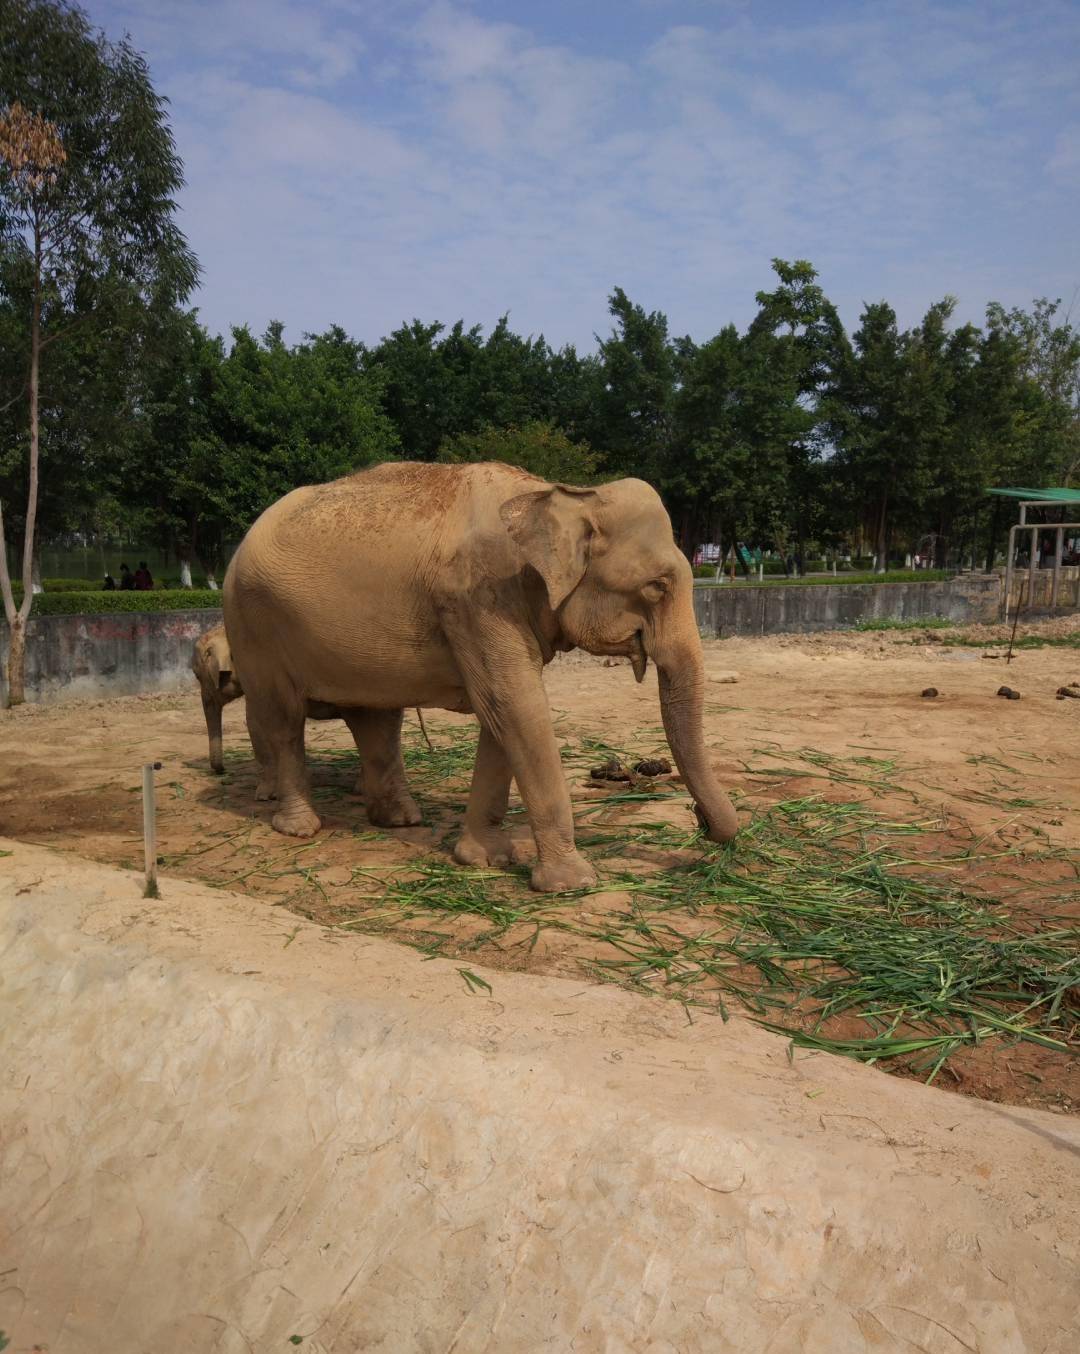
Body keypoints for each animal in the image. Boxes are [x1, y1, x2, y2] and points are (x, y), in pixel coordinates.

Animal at [224, 460, 741, 893]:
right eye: (658, 586)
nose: (698, 819)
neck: (555, 494)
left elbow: (502, 718)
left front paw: (483, 859)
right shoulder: (478, 599)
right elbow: (516, 708)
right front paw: (571, 884)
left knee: (376, 719)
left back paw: (400, 822)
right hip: (253, 626)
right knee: (282, 719)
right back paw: (300, 827)